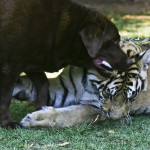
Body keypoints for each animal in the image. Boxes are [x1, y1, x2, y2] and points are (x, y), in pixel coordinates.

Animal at [0, 0, 130, 127]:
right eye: (114, 40)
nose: (129, 61)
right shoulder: (10, 67)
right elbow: (5, 99)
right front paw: (7, 123)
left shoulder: (32, 63)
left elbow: (43, 84)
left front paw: (40, 108)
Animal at [12, 37, 150, 127]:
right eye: (107, 94)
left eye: (131, 97)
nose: (114, 119)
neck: (88, 81)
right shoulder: (63, 88)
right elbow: (28, 84)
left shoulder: (94, 108)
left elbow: (68, 115)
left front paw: (34, 119)